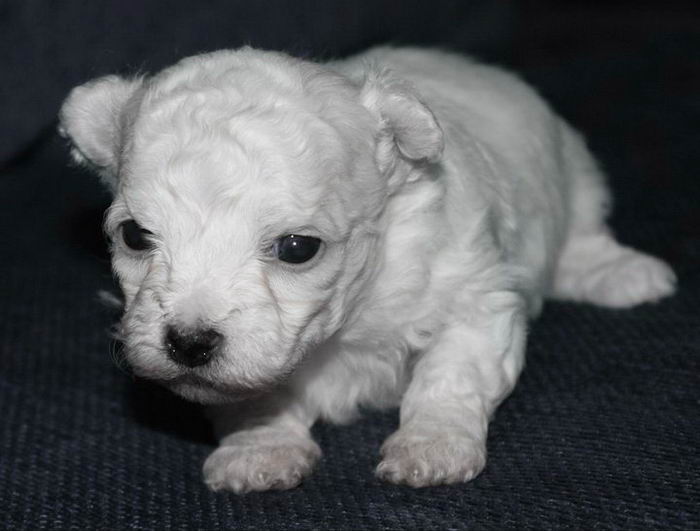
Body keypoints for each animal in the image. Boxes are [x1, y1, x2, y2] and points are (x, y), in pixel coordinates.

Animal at [58, 46, 672, 494]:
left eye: (298, 248)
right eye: (135, 236)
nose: (188, 343)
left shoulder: (474, 299)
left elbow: (450, 375)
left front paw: (432, 446)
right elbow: (257, 394)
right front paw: (259, 448)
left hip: (576, 172)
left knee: (585, 235)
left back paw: (621, 274)